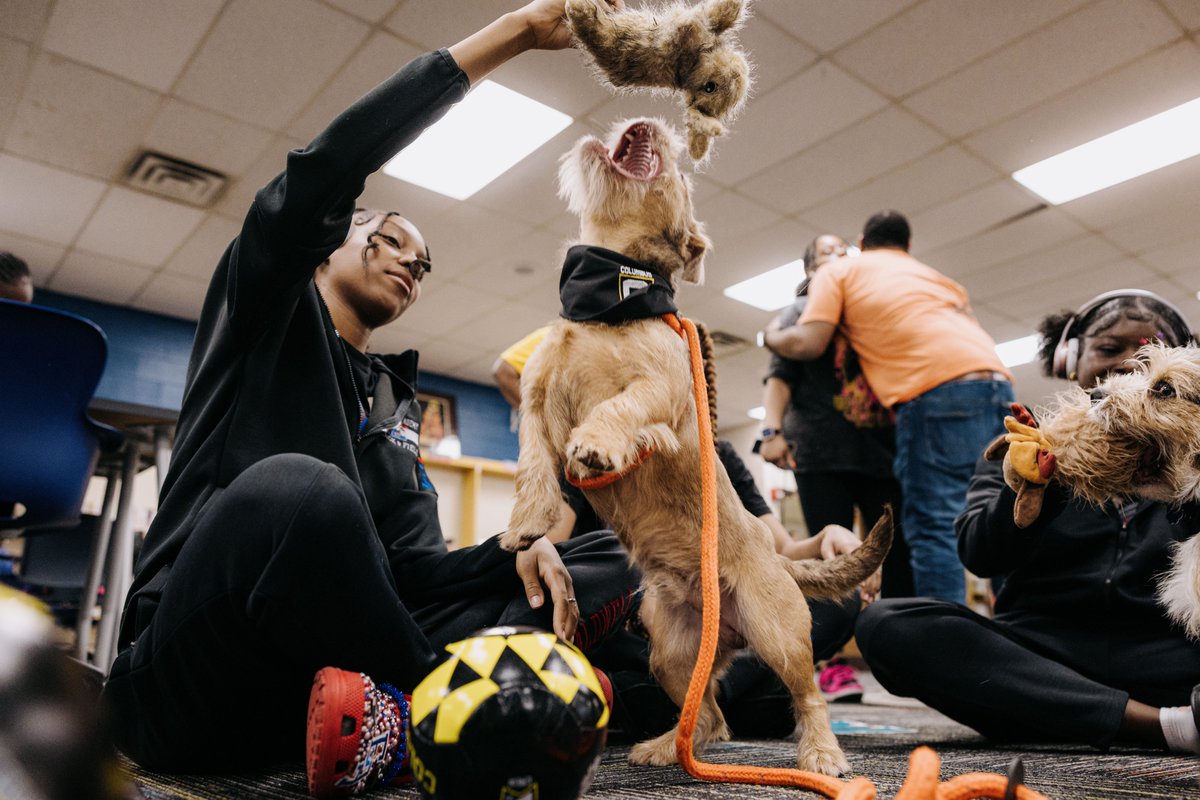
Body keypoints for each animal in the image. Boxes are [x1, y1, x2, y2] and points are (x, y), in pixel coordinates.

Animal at [494, 118, 892, 777]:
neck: (611, 302)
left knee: (805, 696)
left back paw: (821, 753)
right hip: (670, 647)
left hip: (779, 629)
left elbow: (620, 407)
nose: (652, 124)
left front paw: (596, 443)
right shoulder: (535, 403)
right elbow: (531, 463)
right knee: (709, 716)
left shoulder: (662, 389)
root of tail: (776, 559)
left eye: (680, 171)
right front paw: (528, 521)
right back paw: (664, 745)